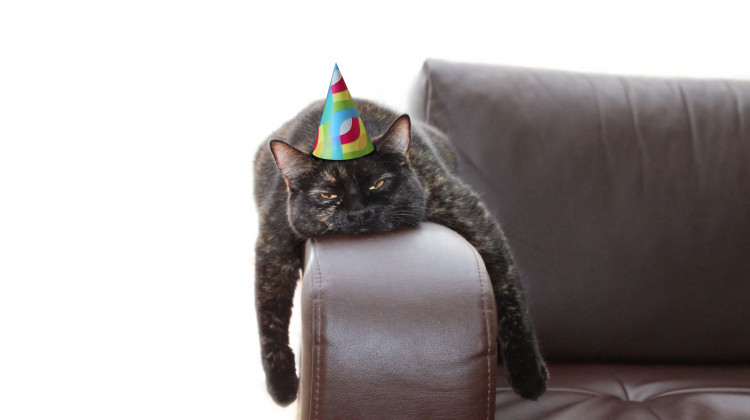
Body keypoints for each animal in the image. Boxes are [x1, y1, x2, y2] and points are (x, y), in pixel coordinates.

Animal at [253, 99, 548, 406]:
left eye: (378, 183)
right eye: (327, 195)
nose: (358, 212)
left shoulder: (478, 225)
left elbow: (510, 298)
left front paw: (529, 375)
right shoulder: (273, 245)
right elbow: (269, 316)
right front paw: (282, 383)